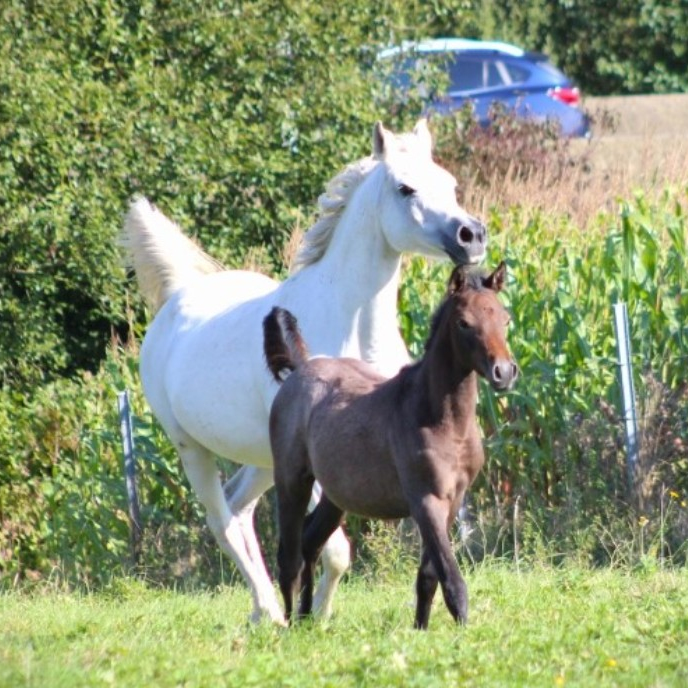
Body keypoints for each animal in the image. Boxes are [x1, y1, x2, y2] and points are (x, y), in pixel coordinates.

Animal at [121, 119, 487, 625]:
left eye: (449, 184)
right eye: (405, 187)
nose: (471, 236)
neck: (353, 323)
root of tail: (179, 298)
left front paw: (320, 614)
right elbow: (334, 548)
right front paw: (311, 616)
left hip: (265, 460)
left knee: (238, 509)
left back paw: (265, 611)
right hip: (193, 449)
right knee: (221, 520)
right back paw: (271, 613)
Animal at [264, 262, 517, 629]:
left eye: (505, 318)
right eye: (464, 323)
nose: (504, 372)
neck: (441, 420)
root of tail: (300, 370)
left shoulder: (453, 500)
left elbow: (428, 577)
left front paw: (421, 630)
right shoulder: (425, 501)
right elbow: (451, 579)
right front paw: (464, 632)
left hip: (336, 495)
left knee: (310, 544)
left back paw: (307, 618)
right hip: (291, 481)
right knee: (289, 557)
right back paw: (287, 624)